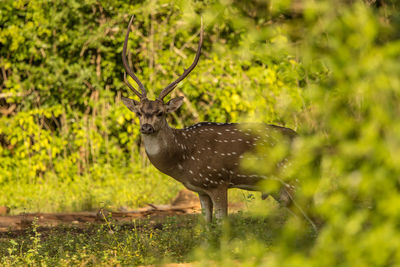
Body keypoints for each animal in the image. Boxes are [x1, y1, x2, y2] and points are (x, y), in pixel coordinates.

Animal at [120, 16, 302, 224]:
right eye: (139, 112)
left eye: (161, 113)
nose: (146, 127)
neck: (183, 159)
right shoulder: (201, 189)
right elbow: (206, 223)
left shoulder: (218, 181)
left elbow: (222, 222)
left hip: (294, 180)